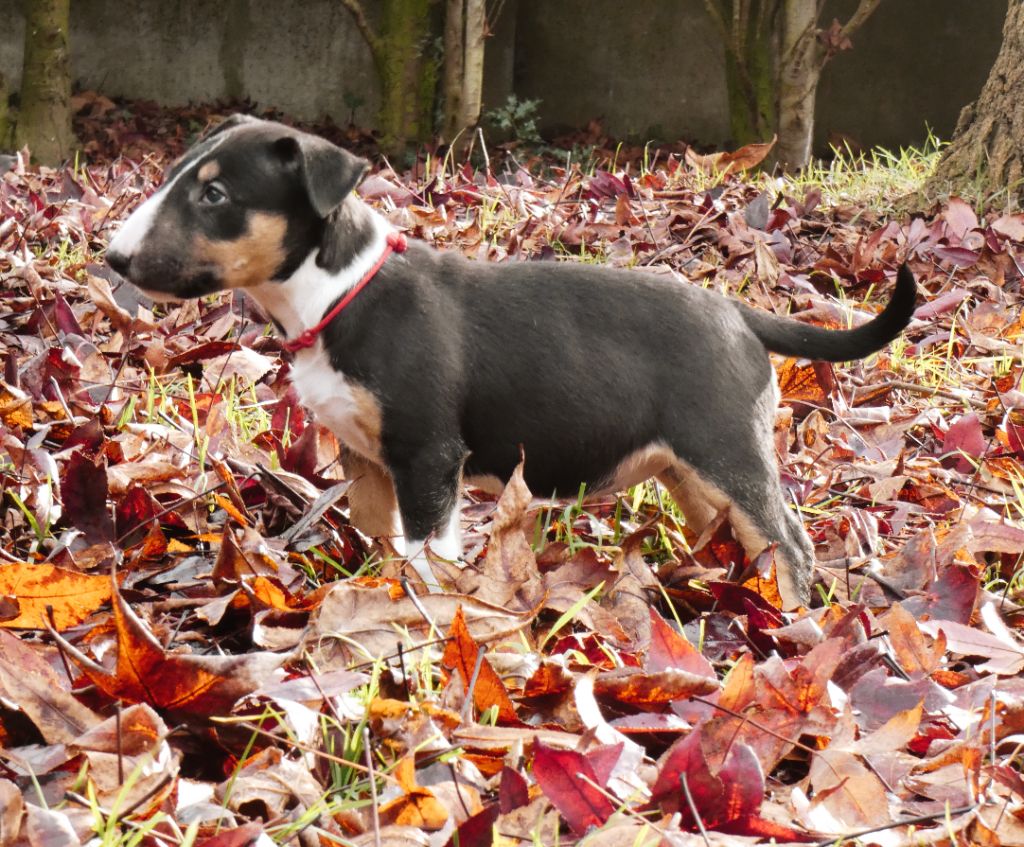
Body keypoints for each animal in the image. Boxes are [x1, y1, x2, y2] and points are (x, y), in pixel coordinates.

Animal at [105, 117, 921, 610]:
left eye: (215, 194)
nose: (112, 257)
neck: (338, 293)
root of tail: (738, 313)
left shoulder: (429, 456)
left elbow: (425, 550)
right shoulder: (366, 460)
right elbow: (379, 539)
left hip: (726, 450)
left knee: (789, 541)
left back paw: (787, 617)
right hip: (689, 472)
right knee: (731, 534)